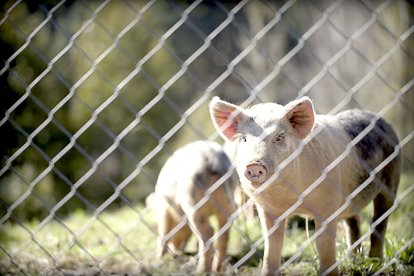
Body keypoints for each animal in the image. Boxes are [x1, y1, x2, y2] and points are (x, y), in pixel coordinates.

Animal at [150, 140, 238, 272]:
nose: (177, 250)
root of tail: (213, 161)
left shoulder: (163, 209)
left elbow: (163, 231)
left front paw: (158, 258)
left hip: (191, 200)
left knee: (208, 231)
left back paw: (201, 270)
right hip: (227, 198)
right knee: (224, 231)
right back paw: (216, 269)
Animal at [210, 96, 402, 274]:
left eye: (279, 137)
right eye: (243, 139)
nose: (254, 165)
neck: (290, 198)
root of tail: (380, 119)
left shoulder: (327, 204)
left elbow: (323, 244)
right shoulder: (268, 209)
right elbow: (272, 246)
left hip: (391, 179)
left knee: (379, 221)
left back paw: (375, 263)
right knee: (353, 221)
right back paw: (355, 260)